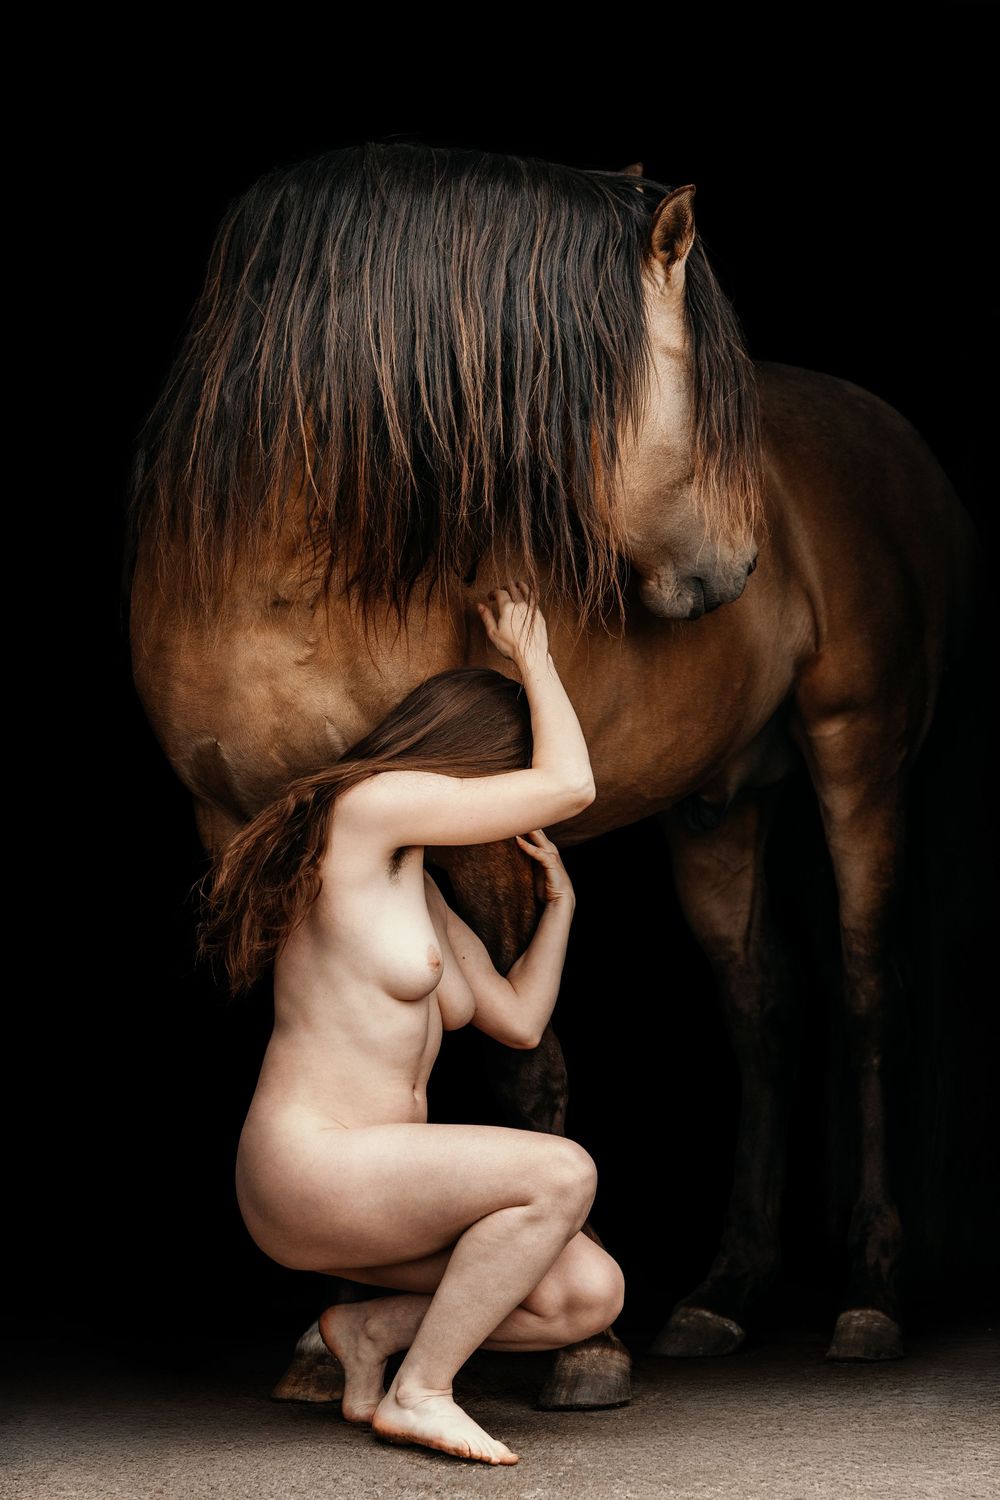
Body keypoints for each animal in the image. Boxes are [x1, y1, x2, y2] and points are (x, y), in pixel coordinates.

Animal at [124, 141, 979, 1411]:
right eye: (703, 391)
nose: (740, 566)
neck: (289, 571)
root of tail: (888, 431)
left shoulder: (480, 823)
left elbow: (527, 1073)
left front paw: (584, 1345)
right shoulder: (235, 825)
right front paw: (326, 1333)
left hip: (857, 761)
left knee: (868, 994)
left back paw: (867, 1296)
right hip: (719, 810)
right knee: (760, 1008)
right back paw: (721, 1294)